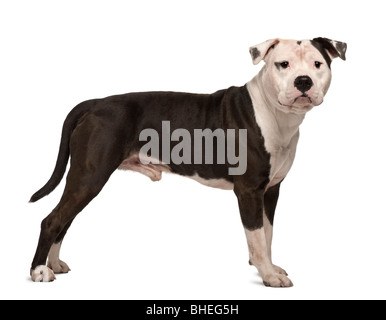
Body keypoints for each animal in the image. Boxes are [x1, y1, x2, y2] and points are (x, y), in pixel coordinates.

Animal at [28, 38, 346, 288]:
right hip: (89, 178)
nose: (303, 81)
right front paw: (268, 275)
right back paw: (39, 271)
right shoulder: (249, 191)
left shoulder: (270, 191)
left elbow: (266, 234)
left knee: (64, 220)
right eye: (283, 64)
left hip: (83, 180)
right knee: (52, 220)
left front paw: (269, 267)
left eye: (317, 64)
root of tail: (94, 103)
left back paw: (54, 264)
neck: (275, 114)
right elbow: (256, 237)